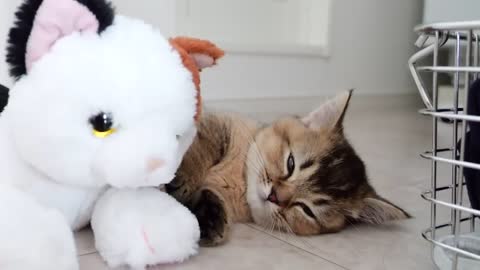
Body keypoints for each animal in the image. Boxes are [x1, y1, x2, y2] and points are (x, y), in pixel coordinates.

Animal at [167, 90, 410, 247]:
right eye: (291, 163)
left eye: (307, 210)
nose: (275, 196)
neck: (239, 182)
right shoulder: (215, 124)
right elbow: (201, 146)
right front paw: (181, 174)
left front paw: (210, 217)